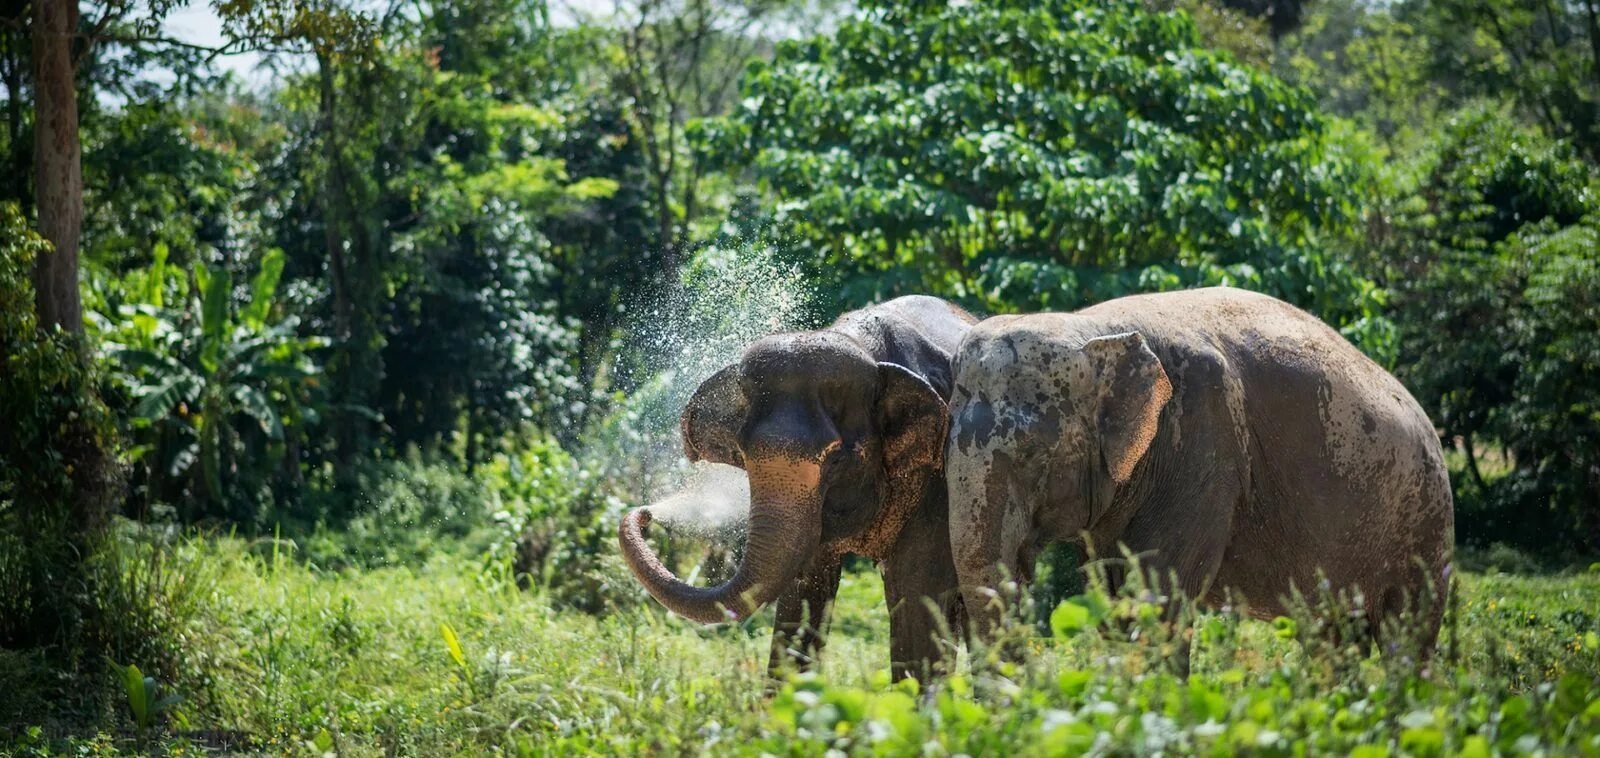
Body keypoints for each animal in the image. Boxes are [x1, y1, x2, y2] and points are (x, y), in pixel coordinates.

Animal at [620, 294, 972, 681]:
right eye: (743, 453)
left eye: (836, 459)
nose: (645, 513)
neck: (863, 345)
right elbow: (802, 591)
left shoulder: (939, 479)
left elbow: (918, 588)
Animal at [940, 287, 1459, 658]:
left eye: (1031, 453)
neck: (1095, 327)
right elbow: (1113, 596)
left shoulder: (1202, 445)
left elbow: (1158, 599)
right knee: (1332, 637)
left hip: (1425, 516)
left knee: (1406, 633)